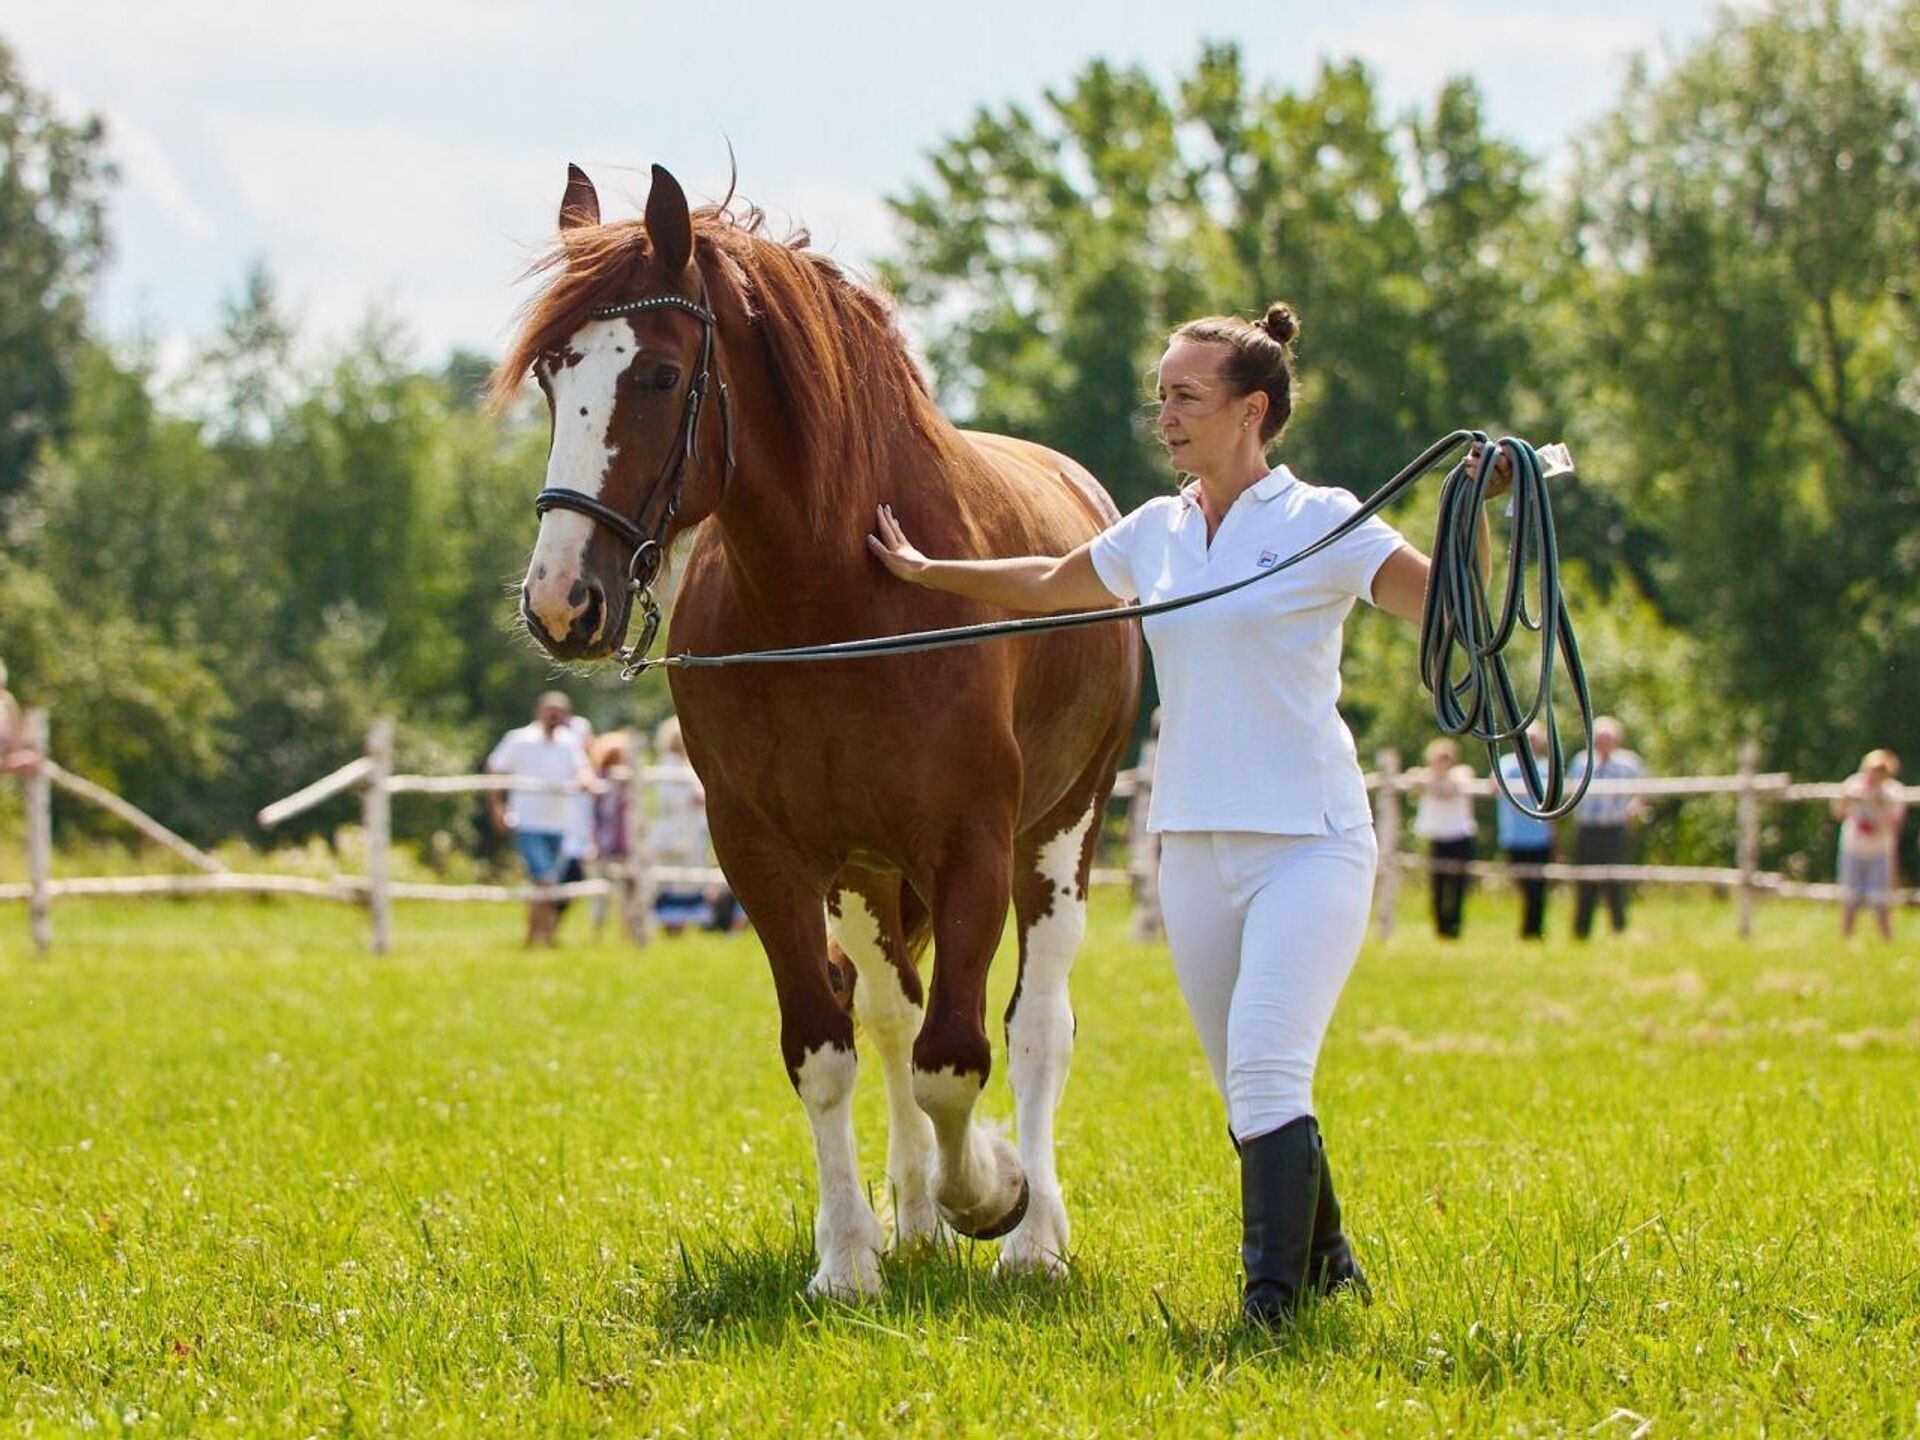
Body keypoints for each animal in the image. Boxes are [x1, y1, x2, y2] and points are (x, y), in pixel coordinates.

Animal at [503, 163, 1144, 1305]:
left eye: (659, 375)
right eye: (550, 373)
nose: (562, 600)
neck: (835, 595)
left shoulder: (974, 845)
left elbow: (957, 1057)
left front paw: (995, 1190)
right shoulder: (767, 853)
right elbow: (829, 1048)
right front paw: (851, 1255)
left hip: (1062, 836)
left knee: (1035, 1027)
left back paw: (1030, 1238)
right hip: (864, 877)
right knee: (889, 1015)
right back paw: (917, 1219)